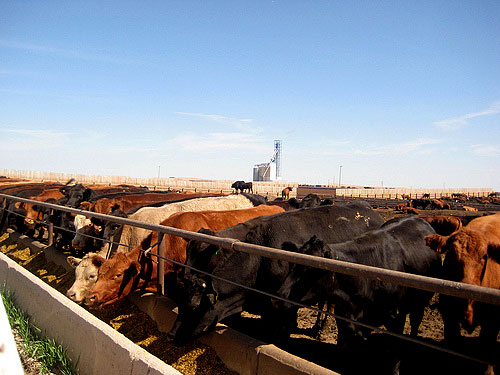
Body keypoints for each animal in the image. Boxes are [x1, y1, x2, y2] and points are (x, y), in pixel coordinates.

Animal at [168, 203, 382, 346]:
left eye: (194, 307)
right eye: (180, 299)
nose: (170, 335)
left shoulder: (284, 301)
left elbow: (281, 327)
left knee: (329, 303)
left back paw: (320, 329)